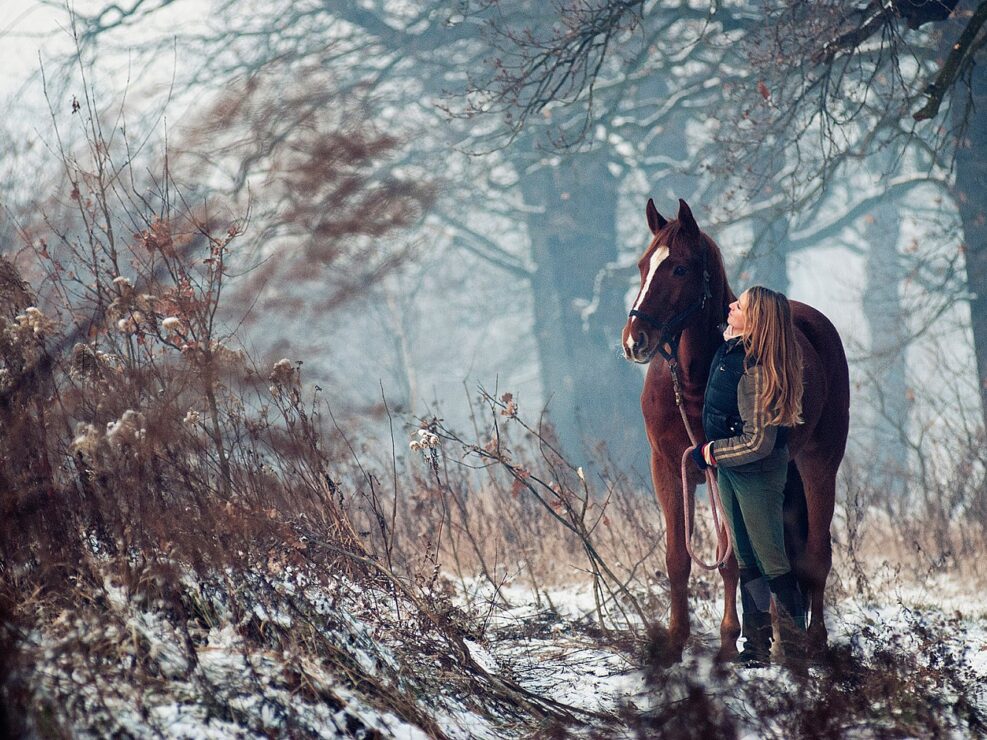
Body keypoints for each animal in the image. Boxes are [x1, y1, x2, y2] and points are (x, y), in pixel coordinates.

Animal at [624, 198, 848, 664]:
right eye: (642, 265)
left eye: (679, 269)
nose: (635, 340)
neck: (695, 381)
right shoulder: (668, 470)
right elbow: (678, 557)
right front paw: (674, 643)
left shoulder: (720, 471)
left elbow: (729, 562)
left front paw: (729, 641)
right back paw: (783, 640)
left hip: (820, 465)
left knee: (816, 555)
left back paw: (813, 645)